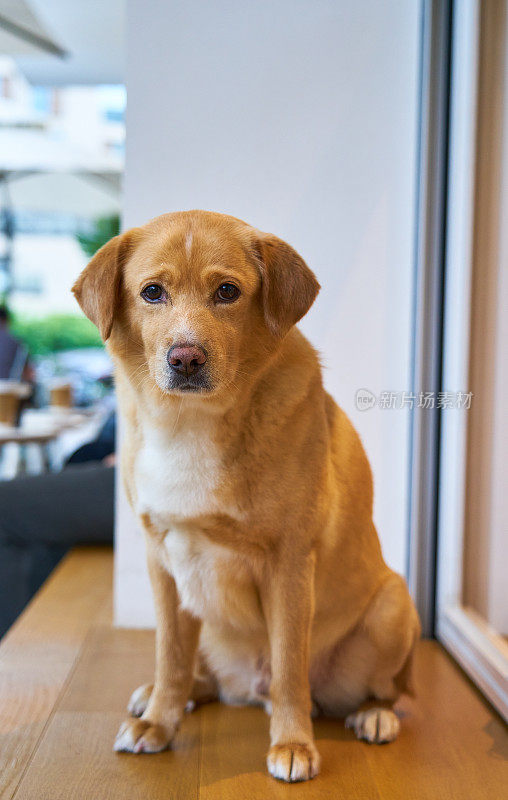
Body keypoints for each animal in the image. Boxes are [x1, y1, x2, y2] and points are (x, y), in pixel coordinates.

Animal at [73, 211, 418, 780]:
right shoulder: (160, 561)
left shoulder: (289, 564)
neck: (190, 424)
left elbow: (289, 668)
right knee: (197, 672)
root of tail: (247, 690)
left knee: (386, 689)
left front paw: (293, 742)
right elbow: (170, 657)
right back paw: (165, 695)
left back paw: (374, 715)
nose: (185, 358)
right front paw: (160, 723)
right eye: (152, 292)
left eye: (227, 292)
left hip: (393, 607)